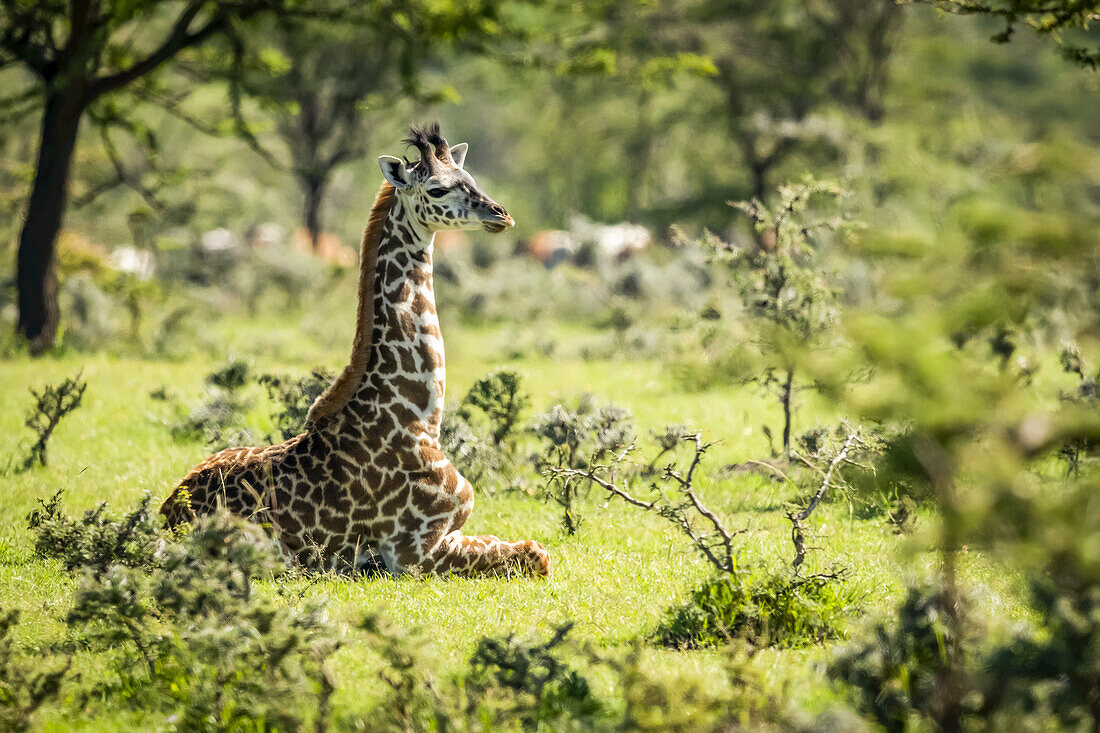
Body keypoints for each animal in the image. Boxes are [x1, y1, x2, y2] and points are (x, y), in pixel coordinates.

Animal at [159, 122, 554, 576]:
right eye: (437, 189)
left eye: (470, 178)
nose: (500, 214)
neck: (421, 418)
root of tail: (167, 515)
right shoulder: (416, 551)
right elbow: (538, 554)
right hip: (271, 553)